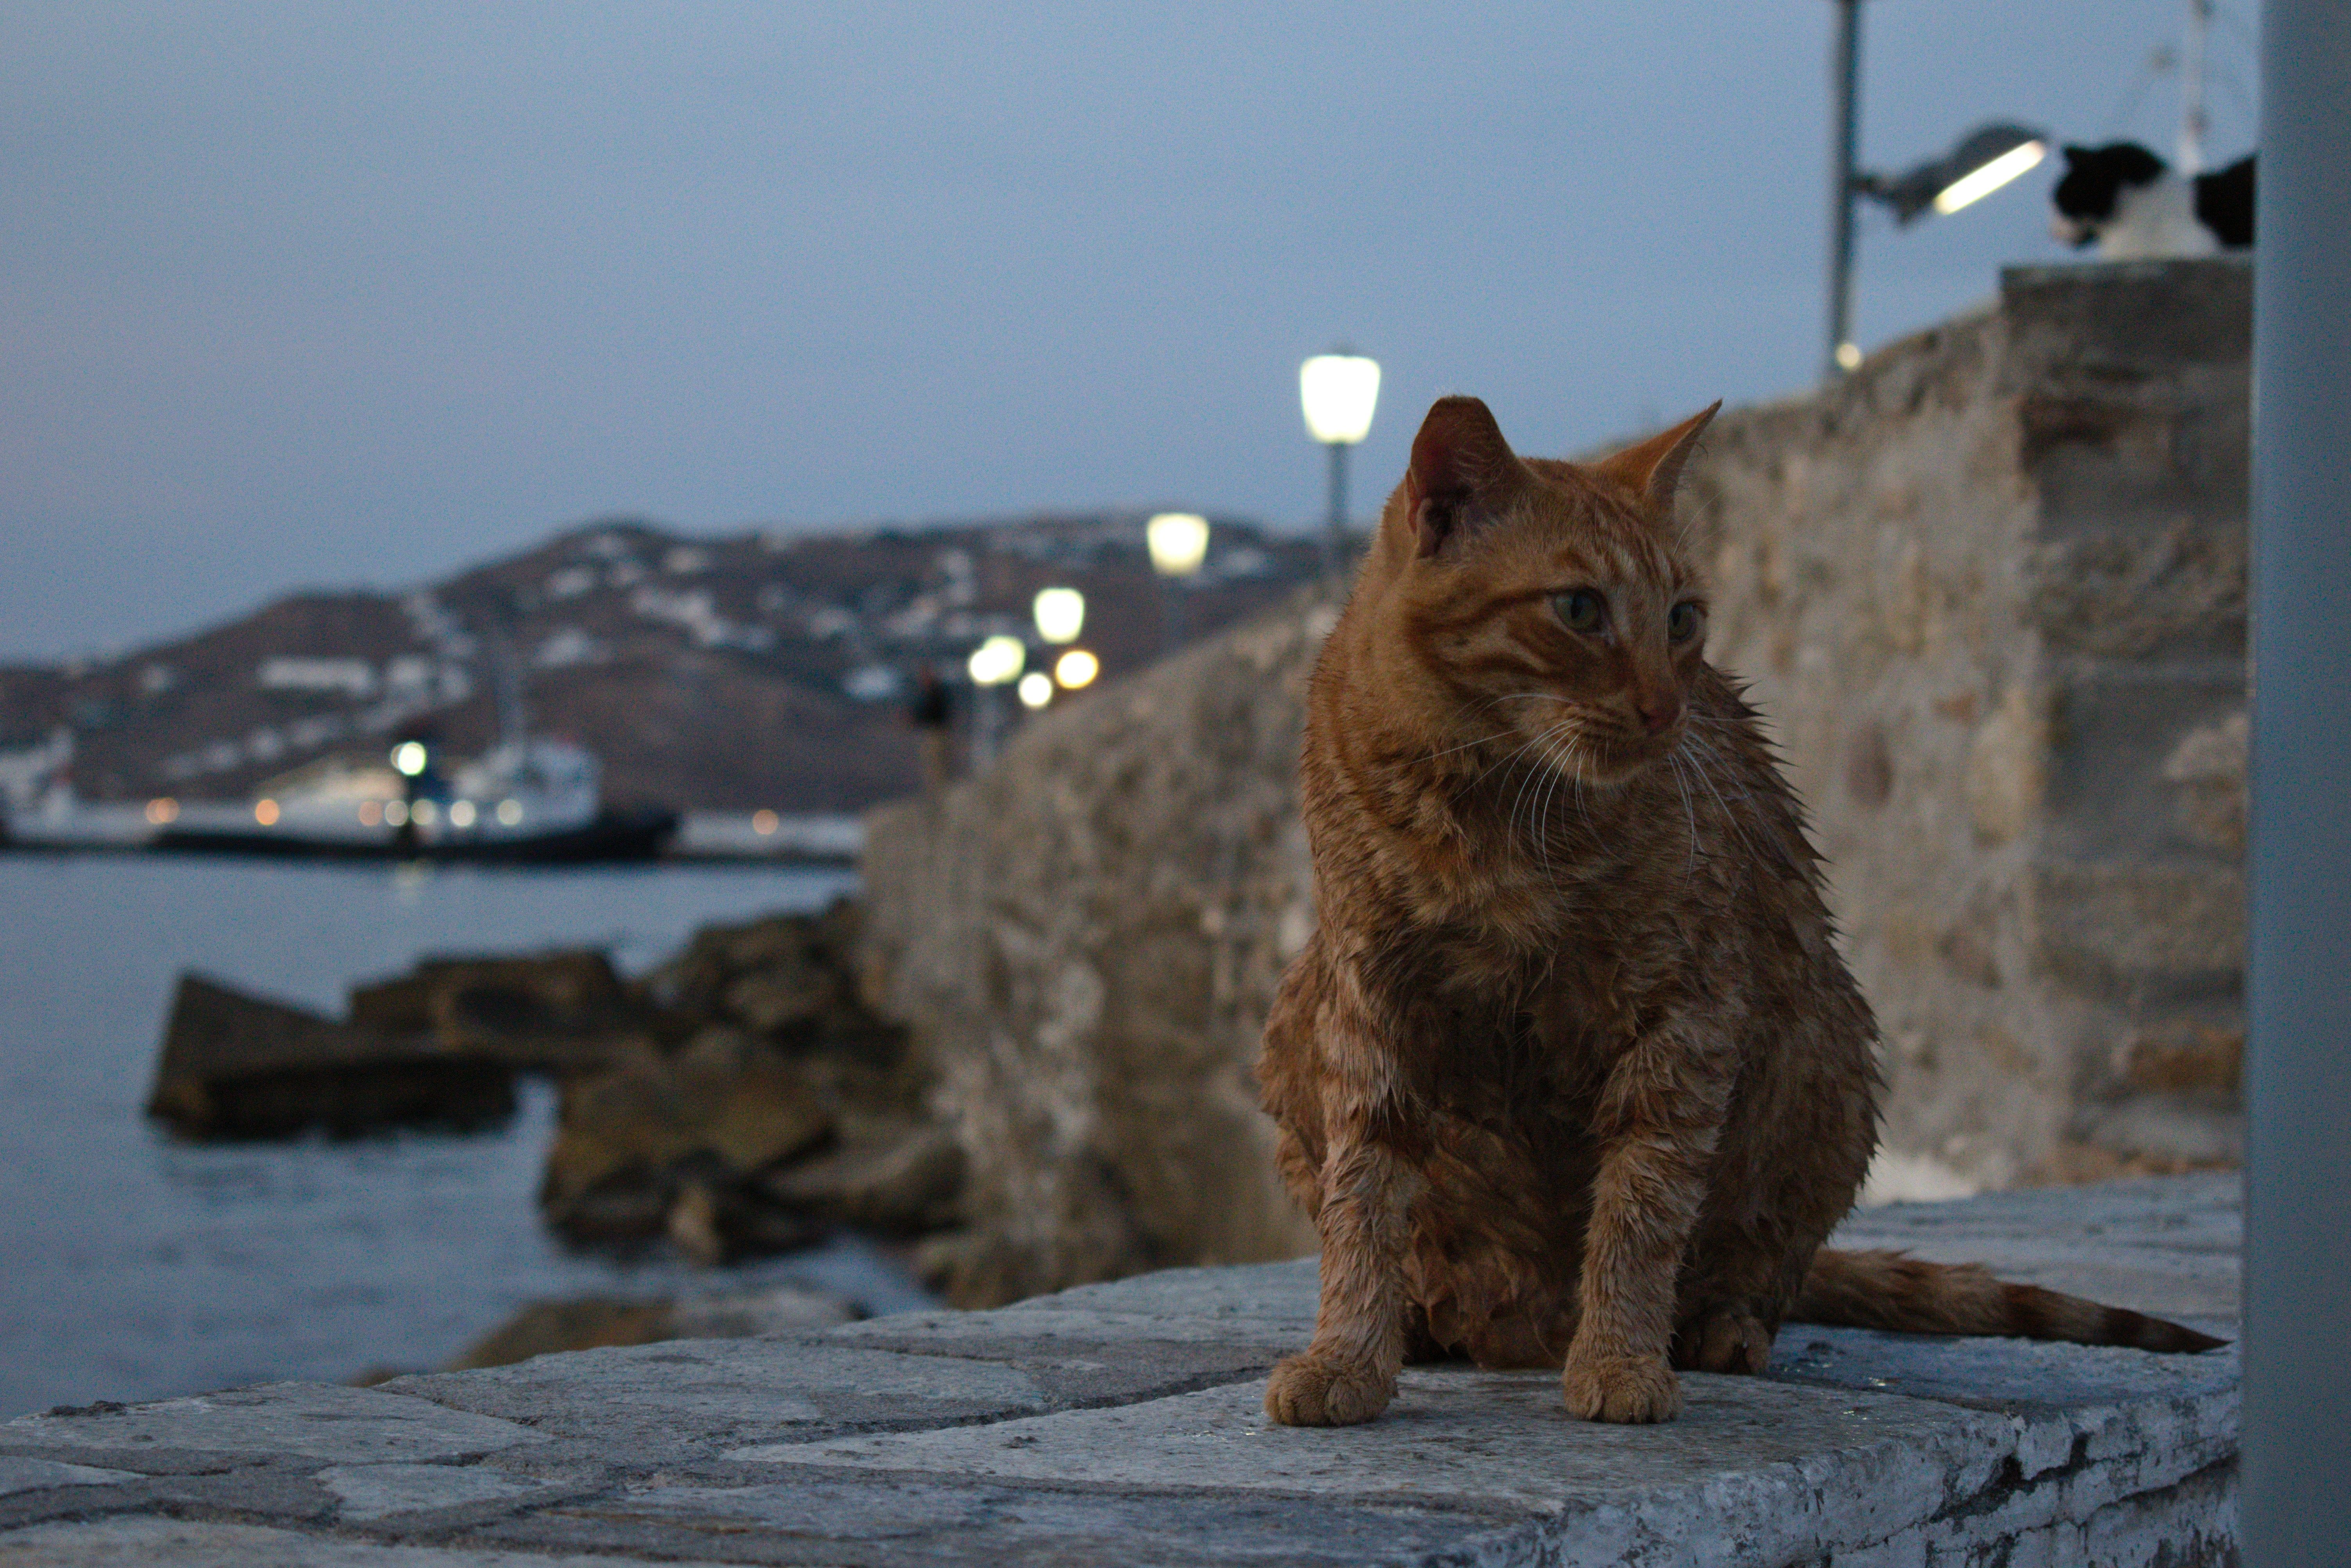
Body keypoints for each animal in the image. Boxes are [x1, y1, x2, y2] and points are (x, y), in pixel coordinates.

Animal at [1260, 399, 2210, 1429]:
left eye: (1683, 619)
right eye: (1580, 609)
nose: (1663, 708)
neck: (1490, 811)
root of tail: (1524, 1327)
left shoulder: (1686, 1011)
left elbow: (1640, 1208)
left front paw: (1620, 1357)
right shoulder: (1371, 1000)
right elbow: (1363, 1204)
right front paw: (1350, 1355)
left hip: (1825, 1053)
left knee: (1764, 1268)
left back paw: (1718, 1328)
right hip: (1295, 1015)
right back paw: (1430, 1323)